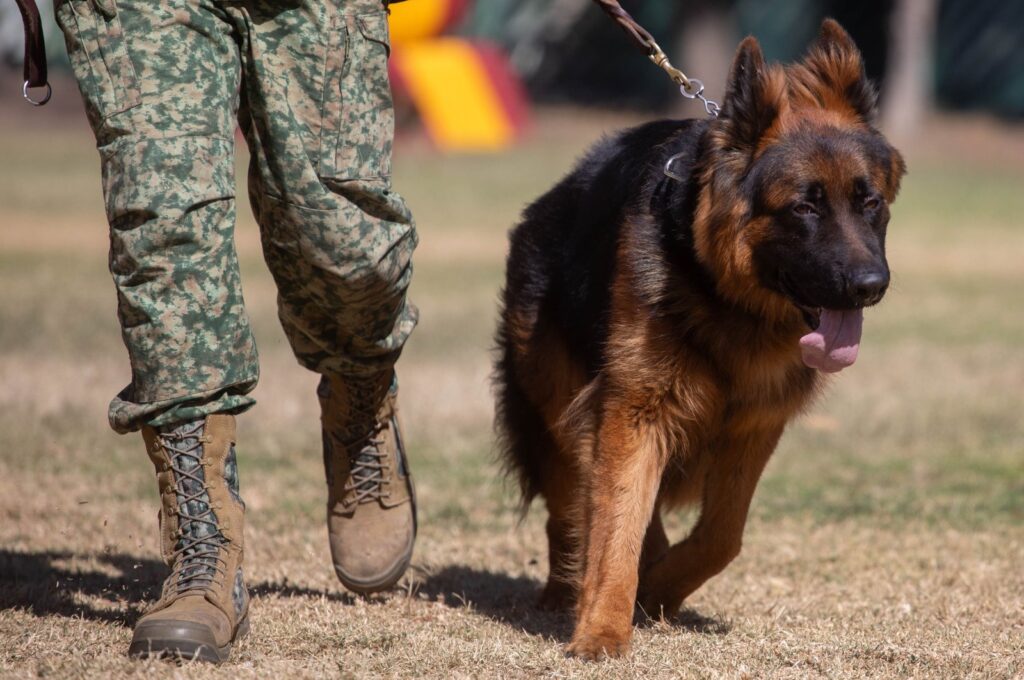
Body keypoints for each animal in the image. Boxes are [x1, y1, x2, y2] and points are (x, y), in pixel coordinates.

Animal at [495, 21, 905, 659]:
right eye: (804, 207)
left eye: (871, 203)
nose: (871, 286)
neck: (726, 299)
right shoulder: (632, 411)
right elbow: (616, 525)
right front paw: (604, 627)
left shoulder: (755, 424)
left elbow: (721, 536)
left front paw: (658, 590)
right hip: (560, 407)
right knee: (570, 504)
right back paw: (565, 591)